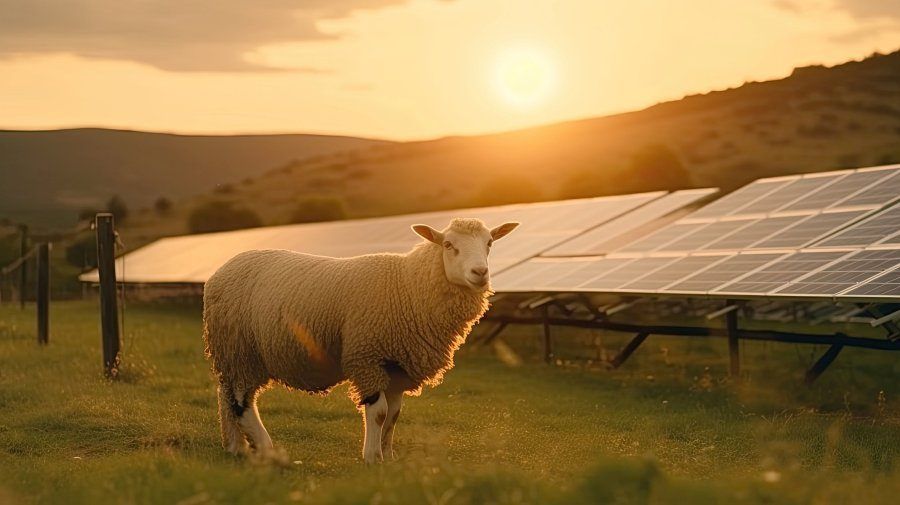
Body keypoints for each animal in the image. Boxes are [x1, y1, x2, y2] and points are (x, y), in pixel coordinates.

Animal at [202, 217, 519, 463]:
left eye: (490, 243)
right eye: (449, 245)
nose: (480, 273)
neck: (408, 287)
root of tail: (221, 271)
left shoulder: (396, 367)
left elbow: (394, 414)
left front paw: (388, 456)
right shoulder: (367, 356)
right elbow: (378, 413)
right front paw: (372, 458)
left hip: (231, 352)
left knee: (225, 394)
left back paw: (235, 447)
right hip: (240, 348)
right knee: (241, 402)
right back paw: (266, 449)